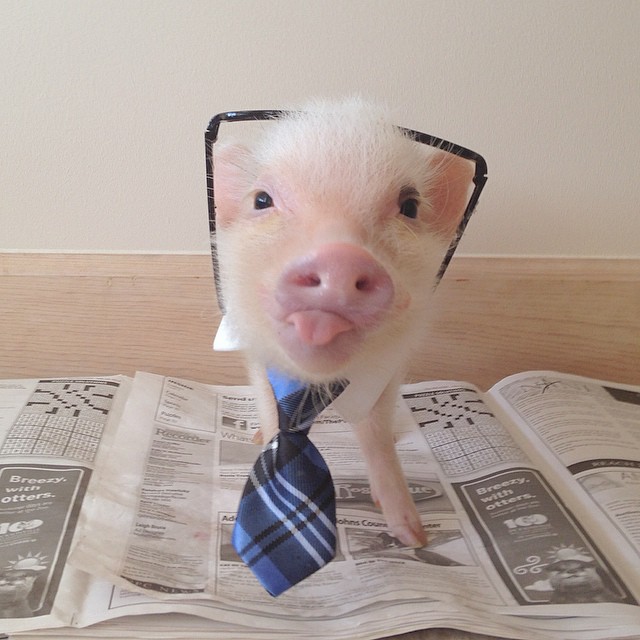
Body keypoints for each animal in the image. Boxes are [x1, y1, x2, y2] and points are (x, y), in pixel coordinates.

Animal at [213, 98, 473, 549]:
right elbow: (270, 409)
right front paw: (263, 440)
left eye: (410, 206)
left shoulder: (388, 373)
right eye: (262, 199)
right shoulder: (258, 361)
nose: (338, 257)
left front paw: (413, 537)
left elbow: (375, 434)